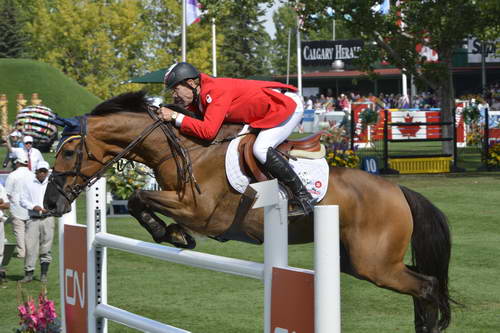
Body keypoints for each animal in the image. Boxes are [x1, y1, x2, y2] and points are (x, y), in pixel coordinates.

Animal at [45, 91, 456, 332]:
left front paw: (173, 233)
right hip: (361, 262)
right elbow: (135, 200)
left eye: (69, 152)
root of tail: (398, 190)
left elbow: (140, 196)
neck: (186, 150)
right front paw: (171, 234)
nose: (50, 204)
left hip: (375, 264)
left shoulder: (201, 210)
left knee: (427, 286)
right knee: (422, 286)